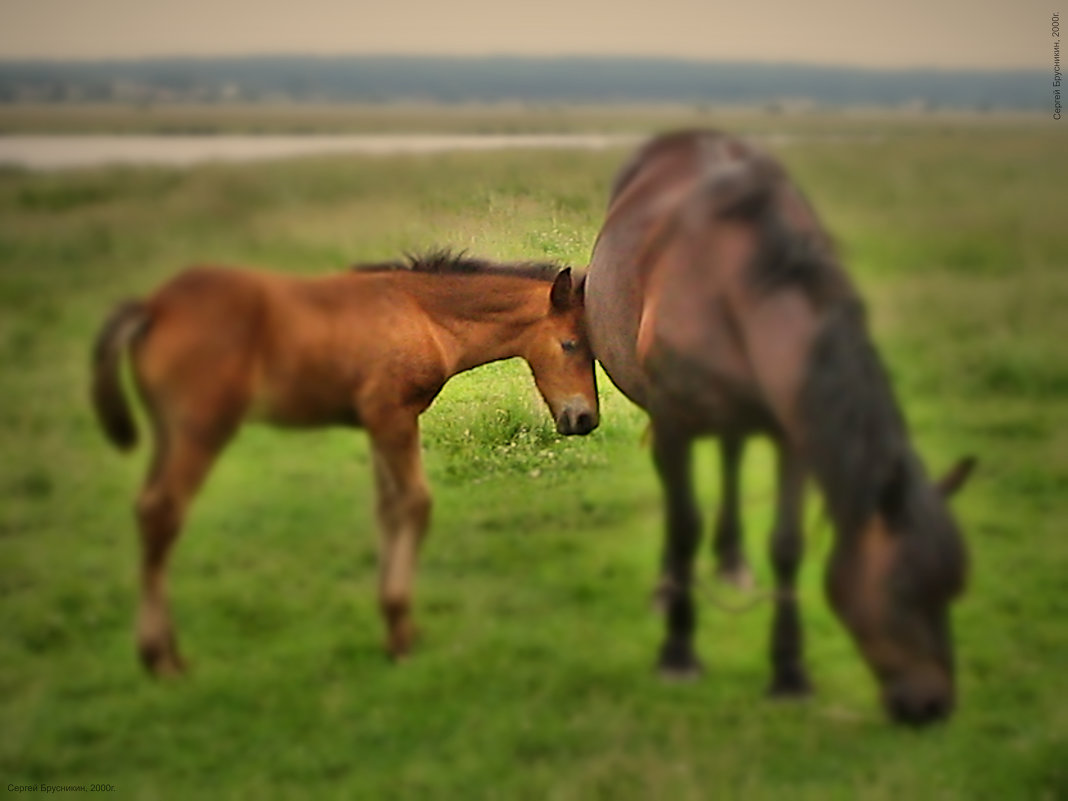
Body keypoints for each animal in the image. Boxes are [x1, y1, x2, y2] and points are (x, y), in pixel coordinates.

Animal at [89, 252, 602, 679]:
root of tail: (153, 308)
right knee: (163, 512)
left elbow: (387, 510)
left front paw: (397, 624)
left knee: (147, 510)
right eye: (571, 344)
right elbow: (415, 504)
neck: (422, 314)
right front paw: (399, 634)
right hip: (201, 429)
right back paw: (162, 659)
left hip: (167, 433)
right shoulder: (393, 416)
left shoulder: (377, 423)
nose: (585, 420)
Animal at [585, 131, 978, 726]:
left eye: (952, 586)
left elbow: (788, 544)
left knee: (730, 453)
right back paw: (669, 585)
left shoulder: (795, 434)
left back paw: (732, 562)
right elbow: (683, 525)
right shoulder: (675, 422)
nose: (932, 705)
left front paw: (790, 672)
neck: (728, 284)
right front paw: (677, 651)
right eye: (903, 587)